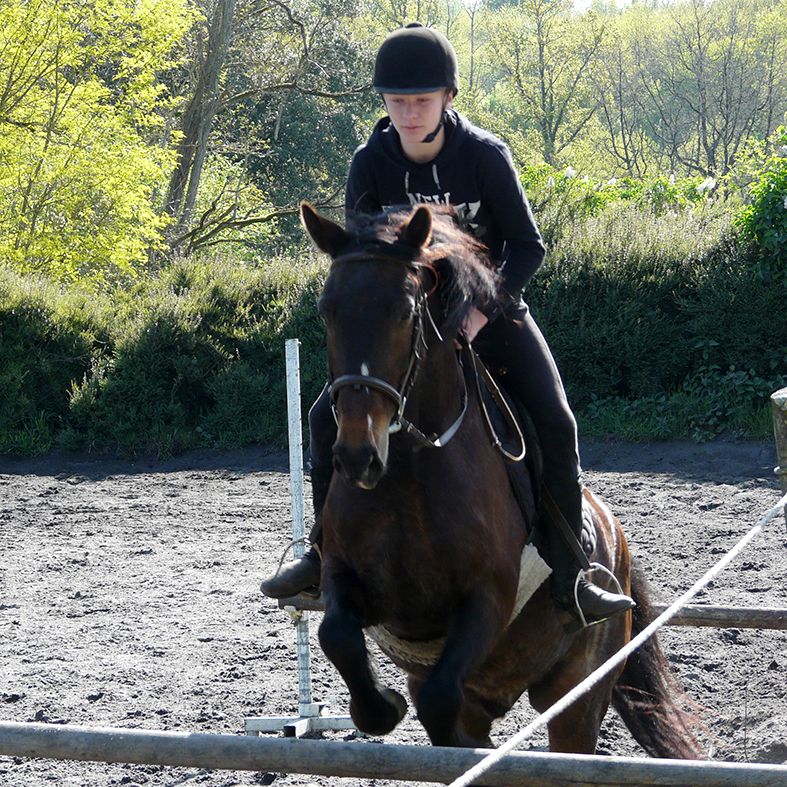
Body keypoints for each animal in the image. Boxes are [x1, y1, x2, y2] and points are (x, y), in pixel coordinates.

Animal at [300, 199, 700, 756]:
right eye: (326, 312)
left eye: (404, 312)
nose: (358, 455)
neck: (410, 476)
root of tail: (615, 536)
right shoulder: (343, 573)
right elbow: (337, 635)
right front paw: (380, 707)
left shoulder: (487, 599)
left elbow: (439, 700)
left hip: (575, 696)